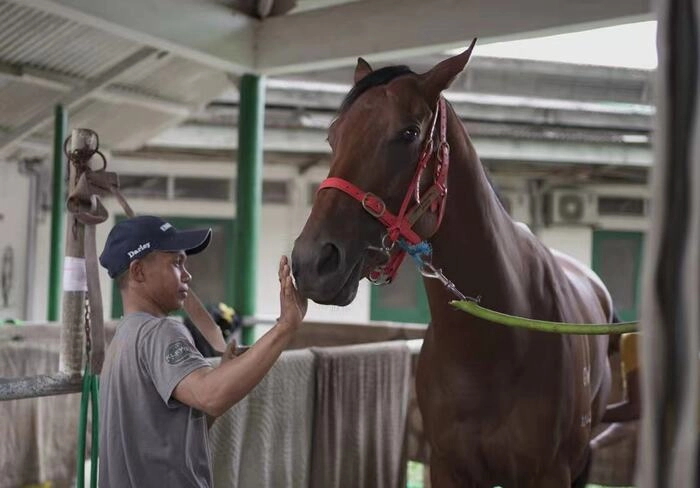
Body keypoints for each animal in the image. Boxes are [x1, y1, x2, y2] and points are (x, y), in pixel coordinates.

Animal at [290, 46, 612, 488]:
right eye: (333, 135)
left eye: (409, 133)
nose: (311, 261)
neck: (490, 348)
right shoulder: (446, 466)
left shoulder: (551, 473)